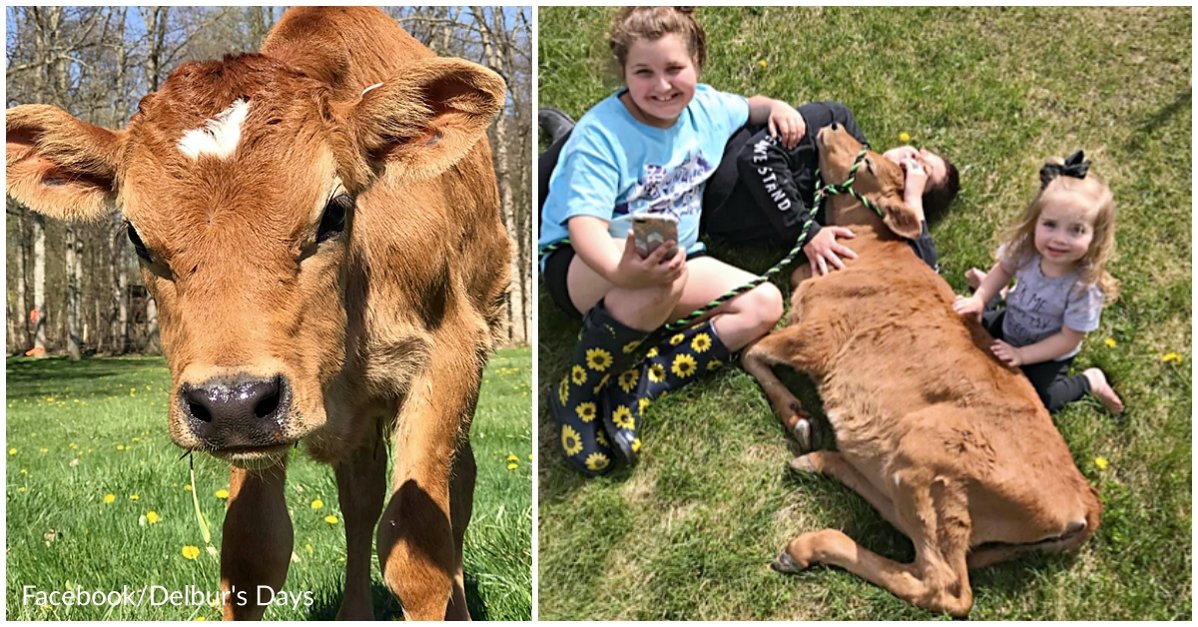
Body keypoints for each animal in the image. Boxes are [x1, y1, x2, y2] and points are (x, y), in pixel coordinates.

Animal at [742, 124, 1097, 618]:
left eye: (870, 165)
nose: (832, 127)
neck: (868, 247)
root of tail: (1084, 498)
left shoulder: (820, 336)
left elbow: (751, 352)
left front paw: (797, 417)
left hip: (928, 454)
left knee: (943, 585)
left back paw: (807, 546)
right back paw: (818, 463)